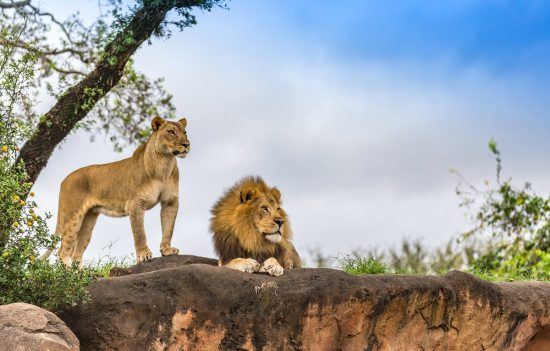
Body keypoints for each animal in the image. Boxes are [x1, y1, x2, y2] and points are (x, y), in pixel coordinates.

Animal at [43, 117, 191, 266]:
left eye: (185, 132)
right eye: (171, 132)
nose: (186, 144)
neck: (164, 164)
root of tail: (64, 180)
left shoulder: (170, 201)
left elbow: (168, 228)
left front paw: (167, 250)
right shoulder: (136, 203)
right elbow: (140, 233)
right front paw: (143, 255)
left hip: (88, 220)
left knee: (76, 254)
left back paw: (79, 271)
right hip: (72, 216)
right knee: (62, 251)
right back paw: (68, 270)